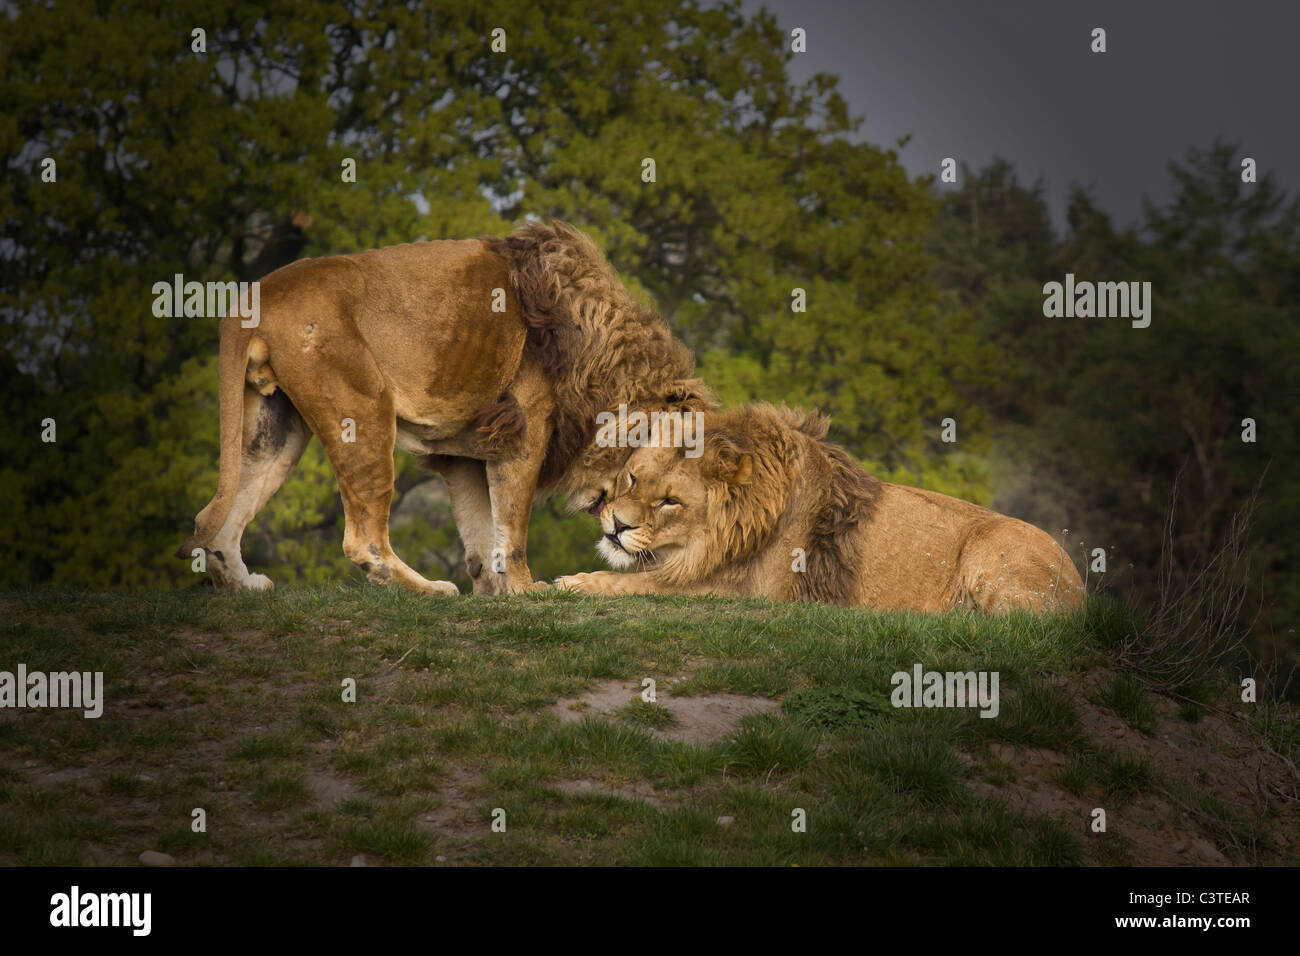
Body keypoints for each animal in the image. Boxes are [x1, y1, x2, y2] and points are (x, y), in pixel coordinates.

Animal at [178, 225, 712, 598]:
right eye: (638, 477)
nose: (621, 525)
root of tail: (255, 296)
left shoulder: (465, 453)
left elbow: (481, 535)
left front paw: (496, 592)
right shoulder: (524, 427)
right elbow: (512, 531)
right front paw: (527, 590)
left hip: (276, 427)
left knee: (220, 517)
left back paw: (245, 586)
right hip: (364, 409)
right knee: (362, 539)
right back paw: (430, 590)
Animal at [559, 403, 1086, 613]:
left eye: (669, 501)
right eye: (632, 479)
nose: (616, 525)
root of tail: (1081, 583)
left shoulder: (748, 593)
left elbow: (636, 583)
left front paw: (572, 583)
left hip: (992, 553)